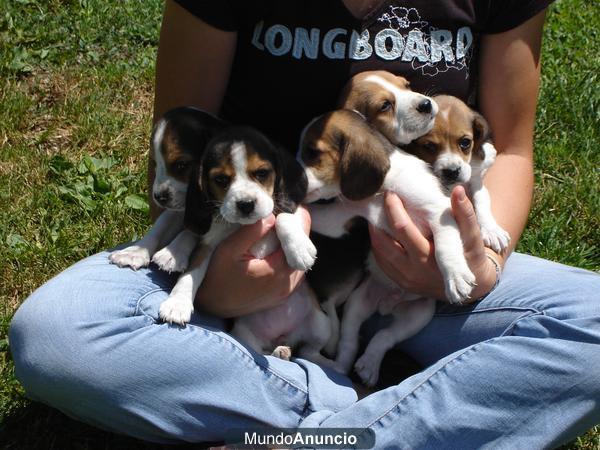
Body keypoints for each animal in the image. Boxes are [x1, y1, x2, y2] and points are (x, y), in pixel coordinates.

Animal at [109, 107, 226, 270]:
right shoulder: (180, 208)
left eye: (182, 165)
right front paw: (134, 252)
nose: (159, 198)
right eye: (154, 163)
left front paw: (173, 253)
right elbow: (161, 227)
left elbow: (193, 231)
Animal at [298, 110, 476, 386]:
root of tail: (389, 303)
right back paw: (347, 366)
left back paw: (369, 364)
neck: (384, 191)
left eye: (312, 152)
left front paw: (456, 277)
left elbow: (445, 248)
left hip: (420, 314)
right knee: (352, 343)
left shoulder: (440, 213)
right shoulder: (340, 219)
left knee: (385, 336)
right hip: (358, 304)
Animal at [404, 95, 510, 253]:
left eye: (465, 142)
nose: (452, 172)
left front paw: (491, 230)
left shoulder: (475, 183)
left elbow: (481, 200)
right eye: (429, 146)